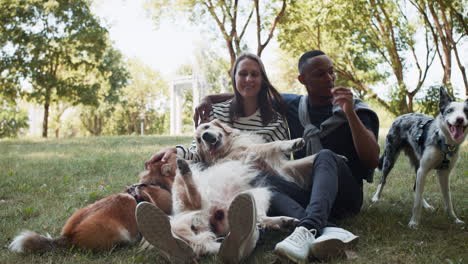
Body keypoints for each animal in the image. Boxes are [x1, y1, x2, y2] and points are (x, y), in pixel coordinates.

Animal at [372, 86, 468, 227]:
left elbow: (448, 200)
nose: (460, 119)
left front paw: (454, 219)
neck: (444, 142)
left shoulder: (443, 173)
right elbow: (416, 202)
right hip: (390, 158)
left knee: (415, 188)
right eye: (450, 110)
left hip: (417, 165)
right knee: (383, 180)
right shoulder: (423, 170)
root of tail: (401, 117)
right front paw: (414, 222)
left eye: (466, 111)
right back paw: (376, 197)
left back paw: (427, 206)